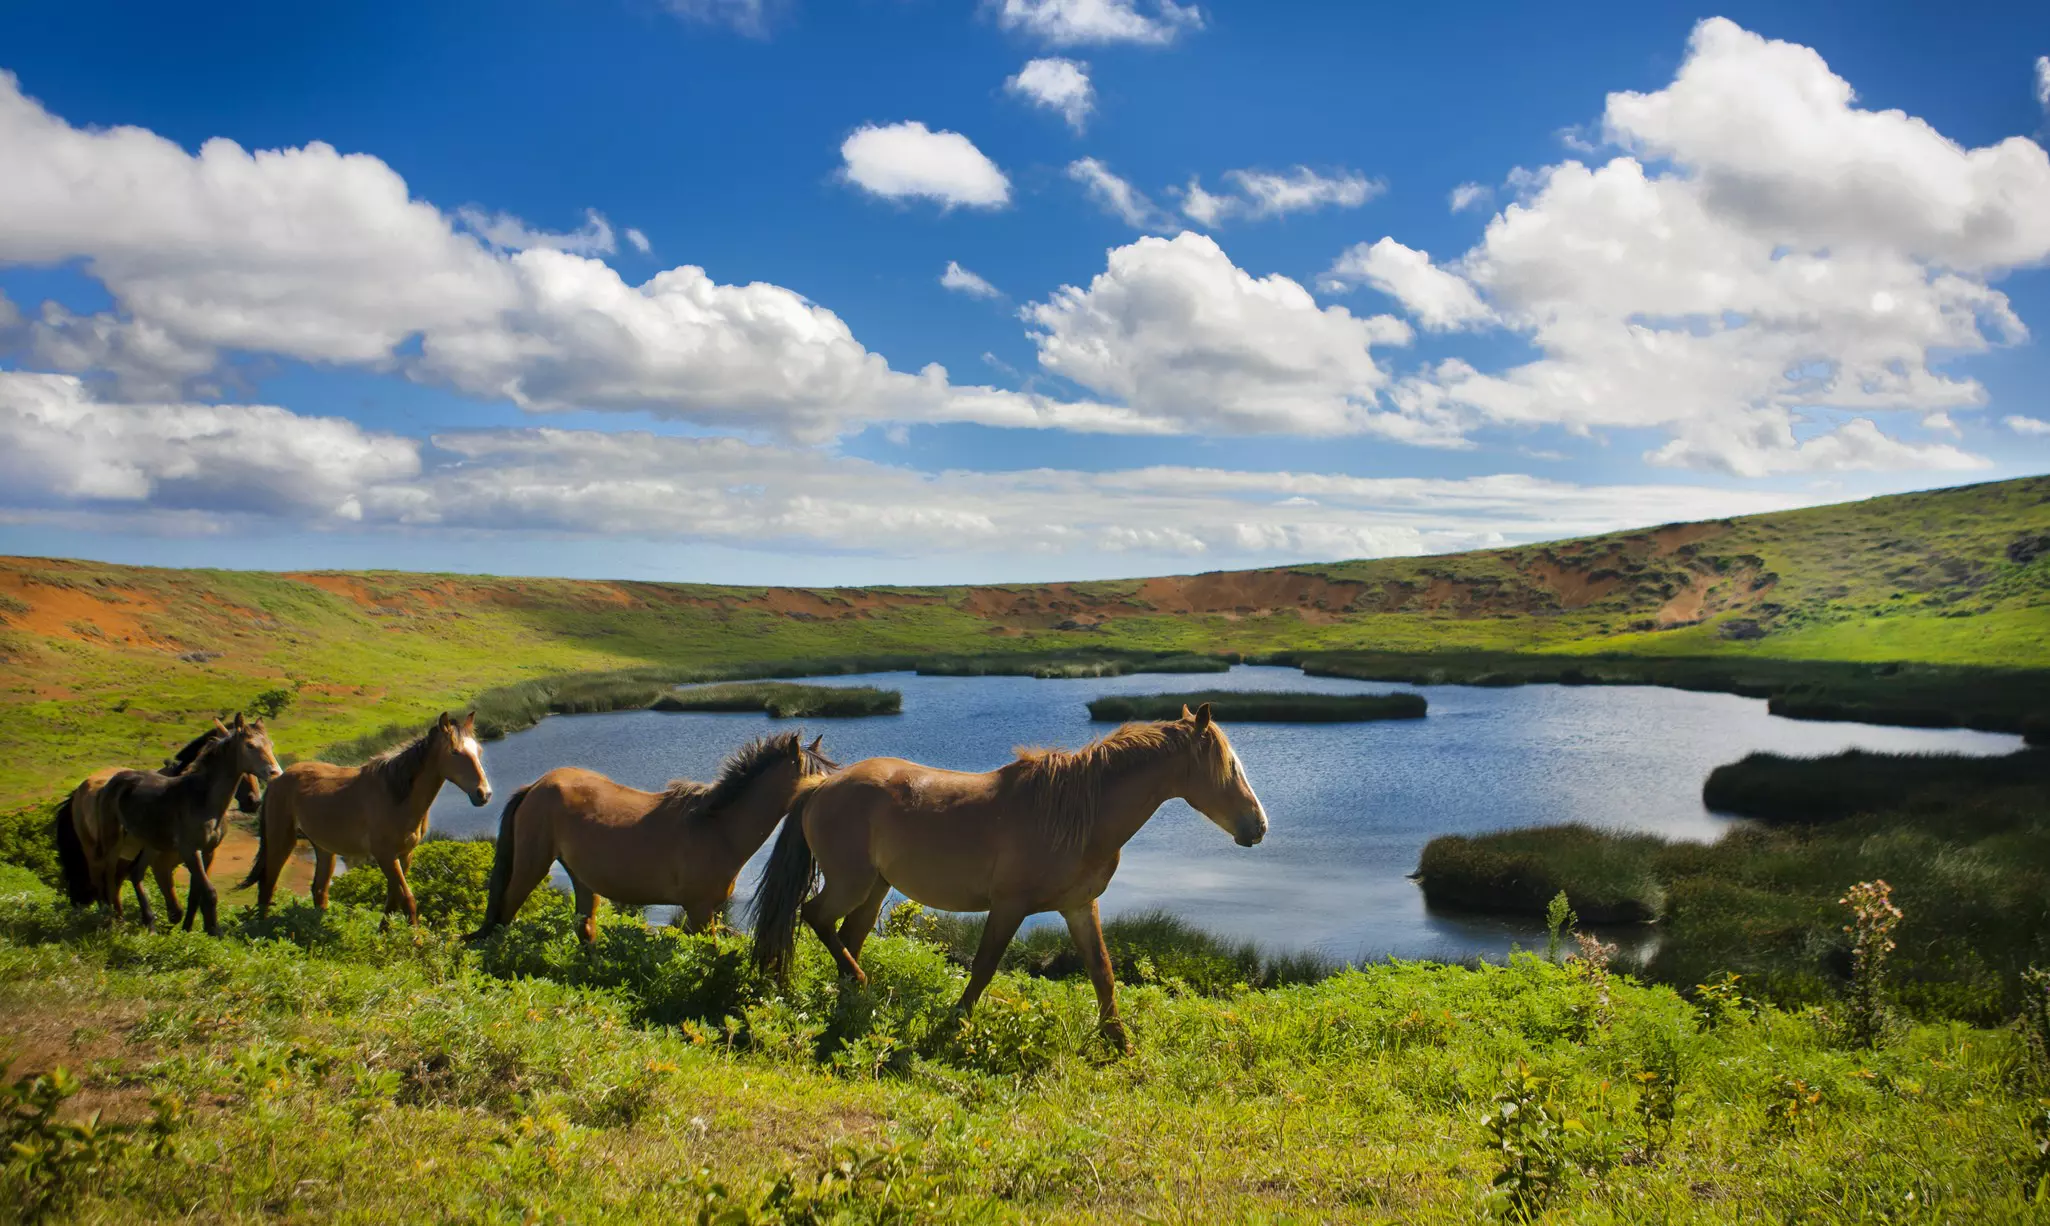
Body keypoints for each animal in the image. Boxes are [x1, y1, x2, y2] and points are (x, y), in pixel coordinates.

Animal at [54, 724, 266, 927]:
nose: (254, 801)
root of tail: (81, 789)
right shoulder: (163, 864)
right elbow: (176, 905)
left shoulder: (201, 856)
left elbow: (193, 897)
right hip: (97, 850)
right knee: (103, 880)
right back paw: (111, 918)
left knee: (116, 882)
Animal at [96, 715, 283, 935]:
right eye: (250, 745)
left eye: (270, 744)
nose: (275, 772)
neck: (202, 799)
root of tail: (114, 780)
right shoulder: (189, 850)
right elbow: (209, 892)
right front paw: (215, 932)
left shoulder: (208, 852)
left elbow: (197, 894)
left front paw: (195, 930)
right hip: (113, 841)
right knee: (108, 876)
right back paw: (113, 921)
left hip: (149, 843)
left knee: (135, 873)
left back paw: (149, 924)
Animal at [241, 711, 492, 925]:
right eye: (455, 752)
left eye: (479, 751)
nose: (484, 793)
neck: (396, 796)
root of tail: (276, 779)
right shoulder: (385, 856)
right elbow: (407, 900)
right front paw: (416, 944)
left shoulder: (404, 855)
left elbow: (393, 900)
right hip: (281, 841)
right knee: (267, 886)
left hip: (324, 848)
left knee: (319, 890)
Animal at [468, 732, 836, 944]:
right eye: (811, 777)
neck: (718, 829)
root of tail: (536, 786)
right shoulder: (699, 909)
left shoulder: (708, 911)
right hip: (531, 866)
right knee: (503, 915)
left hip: (582, 879)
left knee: (585, 928)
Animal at [748, 702, 1268, 1051]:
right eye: (1230, 766)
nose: (1258, 827)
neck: (1077, 814)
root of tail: (819, 786)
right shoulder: (1009, 905)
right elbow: (983, 968)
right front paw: (954, 1026)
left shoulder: (1079, 906)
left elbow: (1102, 972)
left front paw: (1119, 1043)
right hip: (850, 883)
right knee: (816, 917)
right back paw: (861, 985)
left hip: (875, 886)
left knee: (848, 936)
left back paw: (851, 997)